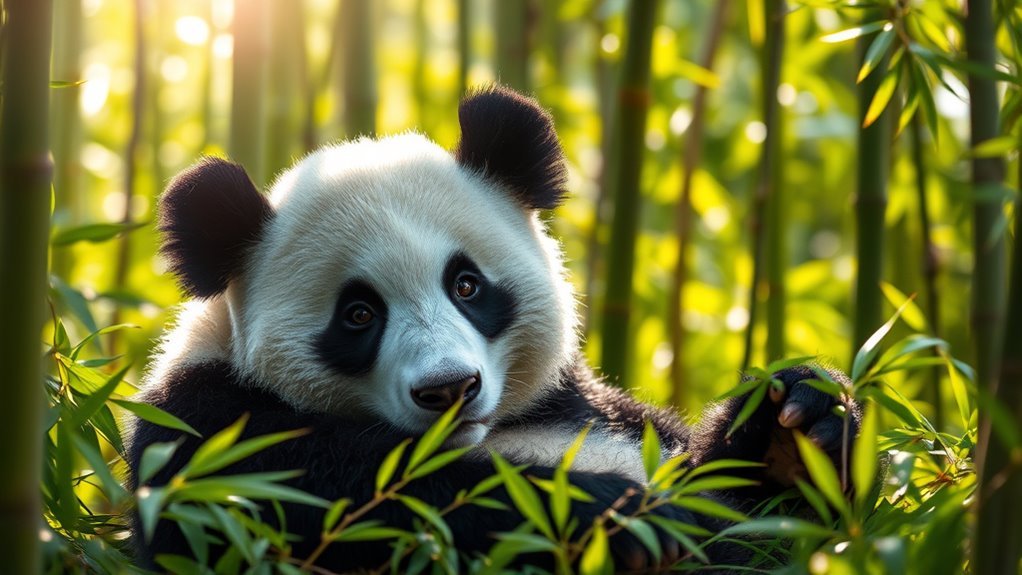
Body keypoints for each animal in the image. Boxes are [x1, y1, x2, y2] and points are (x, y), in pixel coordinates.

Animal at [127, 86, 860, 571]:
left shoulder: (592, 406)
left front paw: (798, 429)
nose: (449, 388)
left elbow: (751, 518)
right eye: (358, 314)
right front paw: (610, 516)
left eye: (466, 285)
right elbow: (346, 496)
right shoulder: (202, 425)